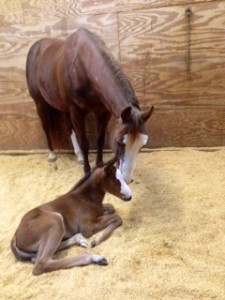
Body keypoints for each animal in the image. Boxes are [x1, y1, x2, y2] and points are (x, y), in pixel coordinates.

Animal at [25, 27, 153, 183]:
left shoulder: (103, 112)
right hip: (40, 102)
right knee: (46, 126)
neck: (82, 66)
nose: (127, 179)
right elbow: (85, 143)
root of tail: (35, 47)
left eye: (142, 145)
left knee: (69, 127)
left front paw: (99, 165)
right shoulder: (77, 111)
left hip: (64, 107)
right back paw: (52, 154)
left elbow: (100, 139)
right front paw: (87, 171)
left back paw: (79, 156)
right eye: (119, 143)